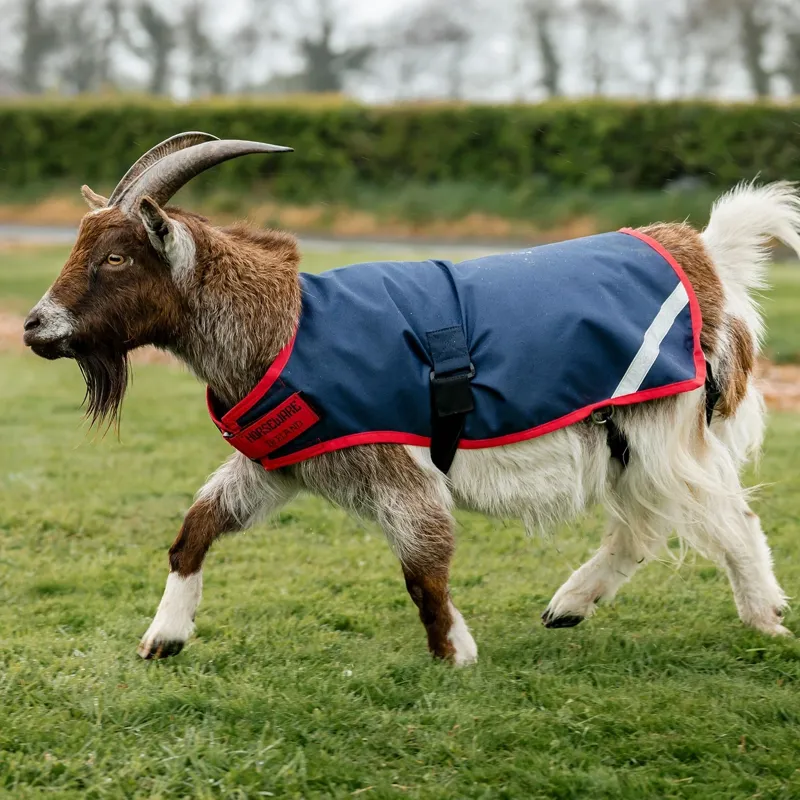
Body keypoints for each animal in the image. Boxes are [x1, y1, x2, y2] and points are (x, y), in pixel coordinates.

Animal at [23, 132, 800, 665]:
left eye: (116, 257)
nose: (34, 326)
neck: (284, 325)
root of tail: (703, 254)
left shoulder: (394, 466)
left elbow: (424, 564)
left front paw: (455, 654)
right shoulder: (281, 463)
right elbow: (197, 528)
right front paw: (164, 638)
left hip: (663, 426)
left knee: (723, 514)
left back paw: (764, 616)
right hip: (625, 439)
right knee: (643, 525)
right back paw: (570, 607)